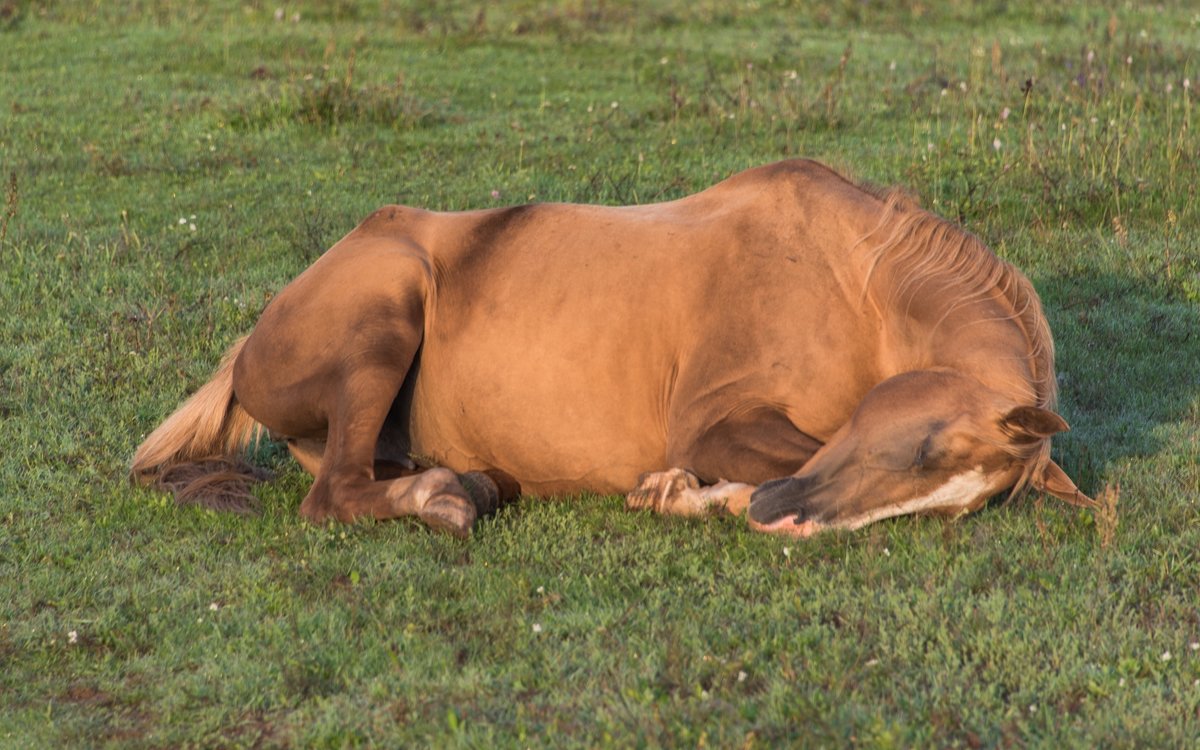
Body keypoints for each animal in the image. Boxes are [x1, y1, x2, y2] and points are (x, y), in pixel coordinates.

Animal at [133, 158, 1099, 535]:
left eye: (958, 507)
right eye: (926, 449)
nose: (788, 518)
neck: (849, 279)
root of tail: (252, 343)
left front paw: (684, 496)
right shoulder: (715, 421)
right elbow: (780, 451)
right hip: (385, 316)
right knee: (334, 495)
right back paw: (446, 497)